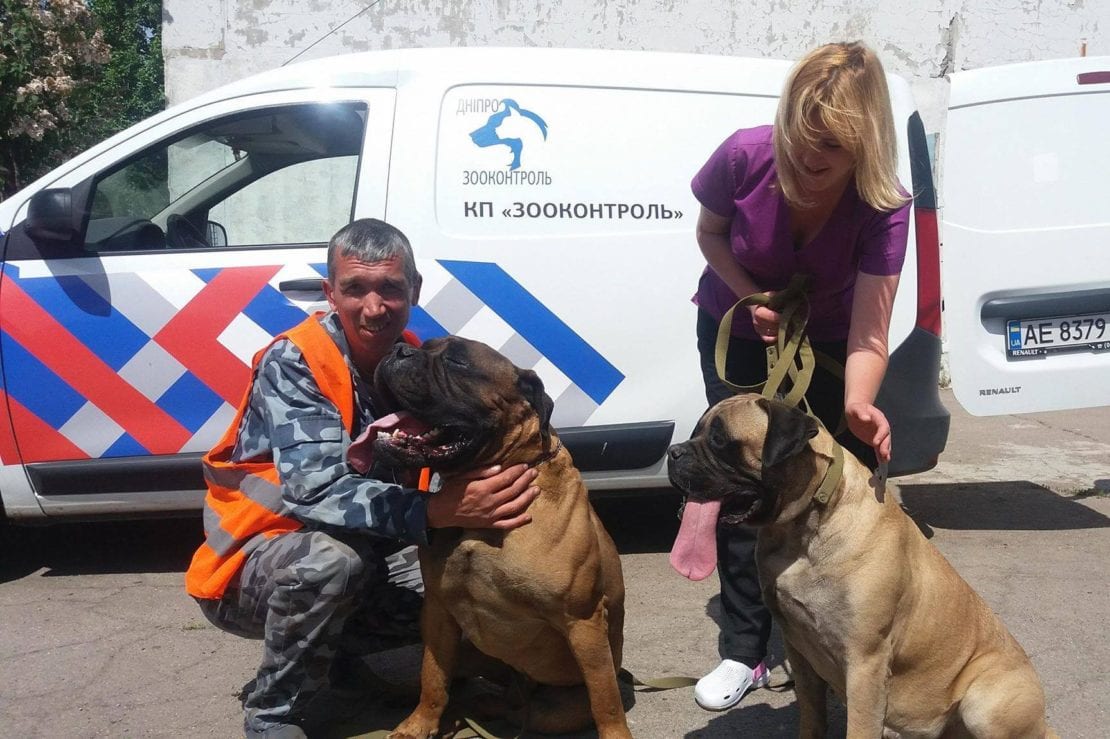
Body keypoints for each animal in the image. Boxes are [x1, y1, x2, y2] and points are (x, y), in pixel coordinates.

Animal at [350, 335, 630, 736]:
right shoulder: (438, 612)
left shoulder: (583, 621)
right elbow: (432, 677)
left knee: (525, 707)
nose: (398, 350)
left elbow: (605, 701)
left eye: (456, 361)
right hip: (472, 651)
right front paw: (419, 724)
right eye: (425, 345)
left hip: (552, 707)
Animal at [661, 395, 1052, 736]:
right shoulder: (799, 649)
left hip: (983, 703)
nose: (672, 452)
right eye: (696, 432)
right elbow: (812, 716)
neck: (804, 529)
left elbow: (860, 728)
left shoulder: (866, 663)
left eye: (720, 440)